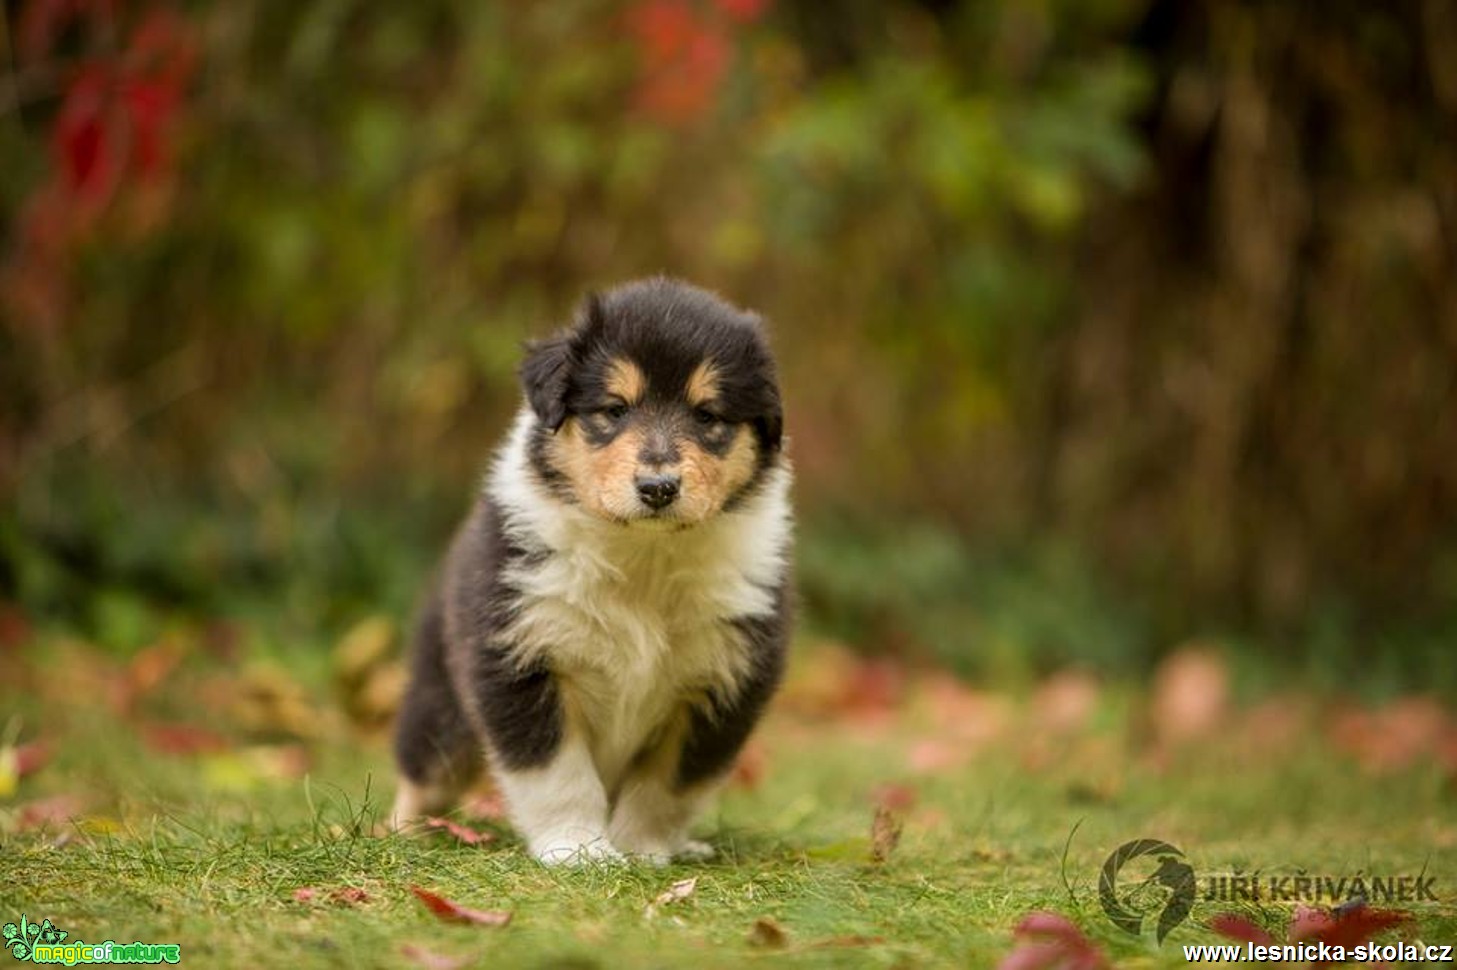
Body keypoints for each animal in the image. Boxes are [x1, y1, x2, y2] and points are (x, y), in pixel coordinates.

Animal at [393, 273, 792, 862]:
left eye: (708, 417)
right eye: (614, 409)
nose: (657, 488)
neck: (643, 556)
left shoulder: (723, 680)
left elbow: (666, 787)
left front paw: (643, 850)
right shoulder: (517, 655)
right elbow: (557, 773)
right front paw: (578, 851)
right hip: (441, 702)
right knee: (424, 771)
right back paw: (402, 834)